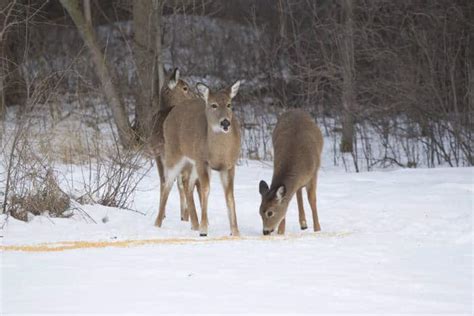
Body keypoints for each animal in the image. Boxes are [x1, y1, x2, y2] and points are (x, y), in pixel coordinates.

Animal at [149, 68, 199, 223]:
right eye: (185, 88)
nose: (198, 97)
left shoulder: (157, 153)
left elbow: (165, 181)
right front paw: (180, 215)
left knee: (184, 182)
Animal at [155, 80, 243, 236]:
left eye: (229, 104)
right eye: (213, 105)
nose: (225, 122)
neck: (219, 152)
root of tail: (171, 112)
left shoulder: (229, 165)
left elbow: (229, 196)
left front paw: (235, 232)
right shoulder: (203, 161)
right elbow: (205, 190)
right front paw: (204, 229)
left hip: (192, 162)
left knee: (188, 185)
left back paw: (194, 224)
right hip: (174, 153)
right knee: (167, 184)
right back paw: (158, 223)